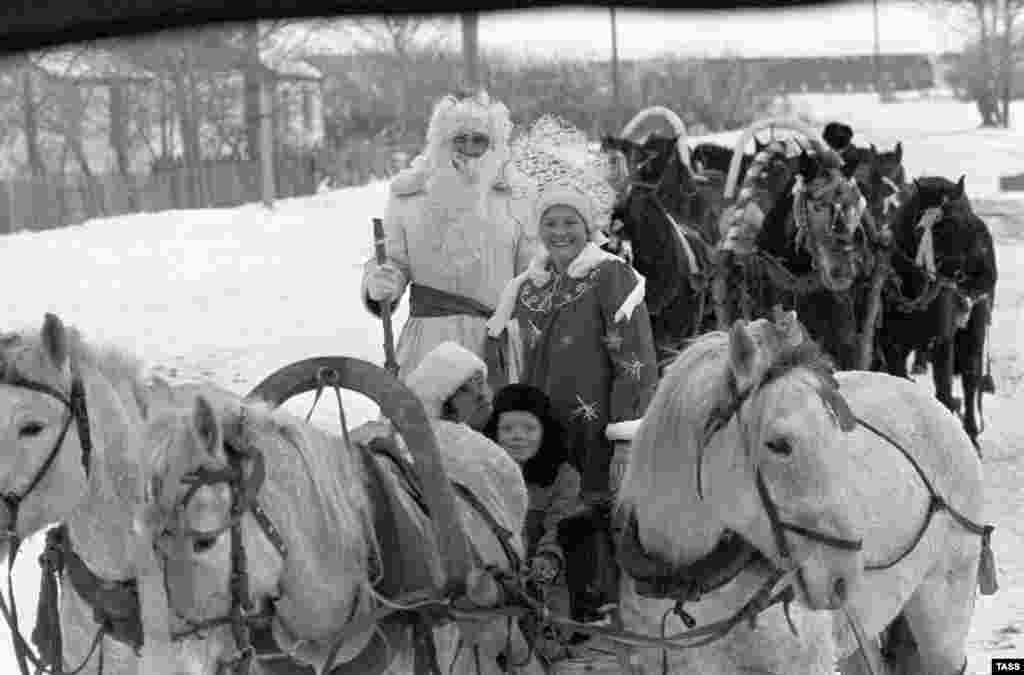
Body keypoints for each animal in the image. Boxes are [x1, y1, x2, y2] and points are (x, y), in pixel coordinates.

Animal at [876, 174, 995, 450]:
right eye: (936, 227)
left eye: (965, 219)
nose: (985, 272)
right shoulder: (891, 345)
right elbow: (899, 381)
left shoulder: (943, 342)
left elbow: (944, 393)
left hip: (975, 328)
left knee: (971, 377)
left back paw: (972, 433)